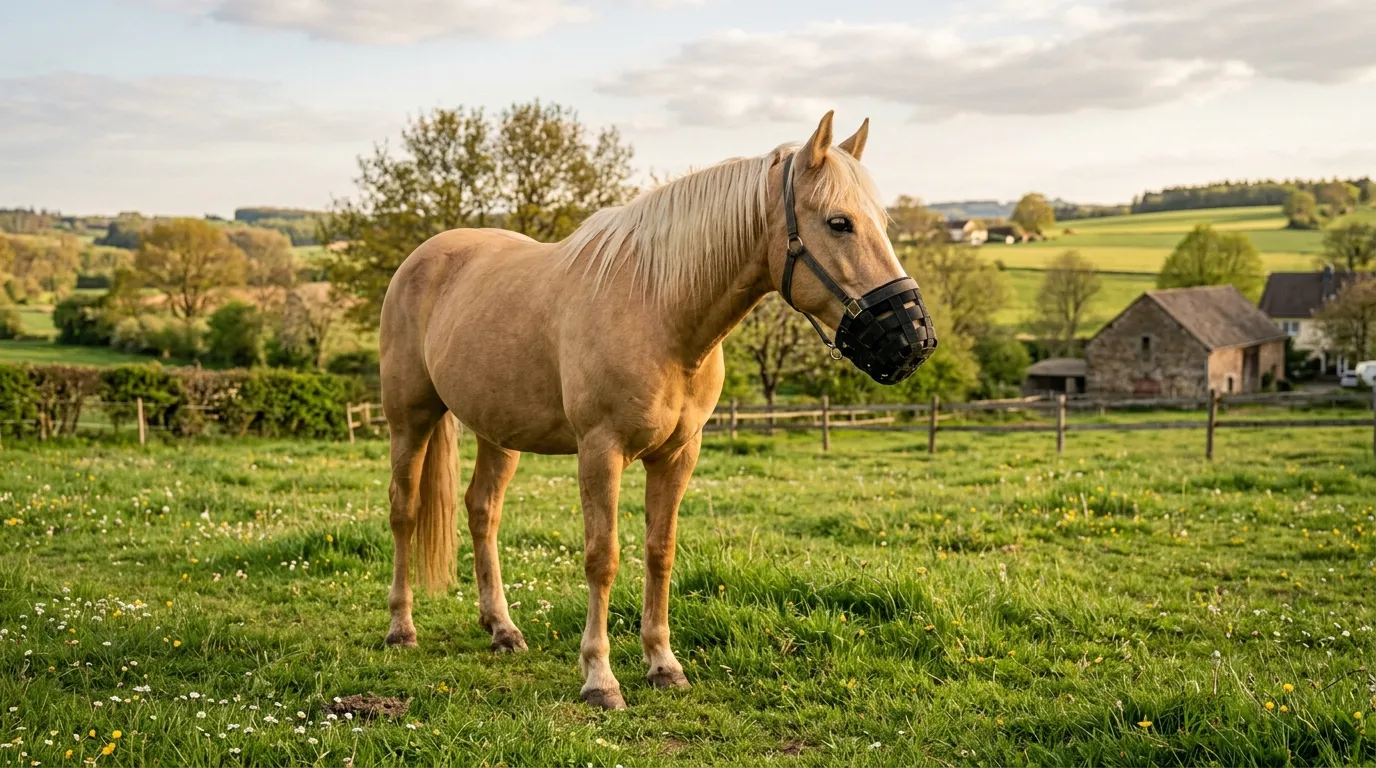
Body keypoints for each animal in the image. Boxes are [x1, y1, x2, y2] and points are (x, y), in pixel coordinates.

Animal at [378, 111, 937, 710]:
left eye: (882, 221)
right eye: (839, 223)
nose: (914, 337)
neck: (659, 309)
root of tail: (424, 256)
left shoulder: (677, 455)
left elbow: (659, 552)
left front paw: (663, 664)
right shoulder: (600, 452)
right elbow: (602, 558)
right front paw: (600, 679)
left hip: (497, 432)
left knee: (483, 510)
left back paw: (501, 629)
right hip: (410, 421)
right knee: (404, 510)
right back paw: (401, 628)